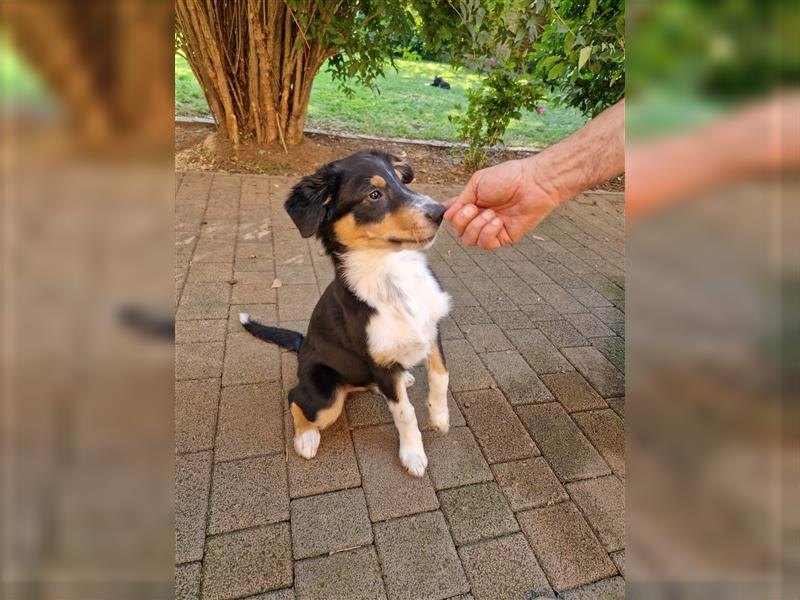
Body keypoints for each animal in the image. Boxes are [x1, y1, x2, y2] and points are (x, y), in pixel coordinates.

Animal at [238, 148, 450, 476]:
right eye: (374, 194)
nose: (441, 212)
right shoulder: (379, 361)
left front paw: (440, 418)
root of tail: (303, 345)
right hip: (326, 397)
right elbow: (404, 412)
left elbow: (441, 376)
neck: (391, 274)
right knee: (296, 399)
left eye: (402, 182)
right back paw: (306, 439)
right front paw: (413, 454)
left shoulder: (431, 330)